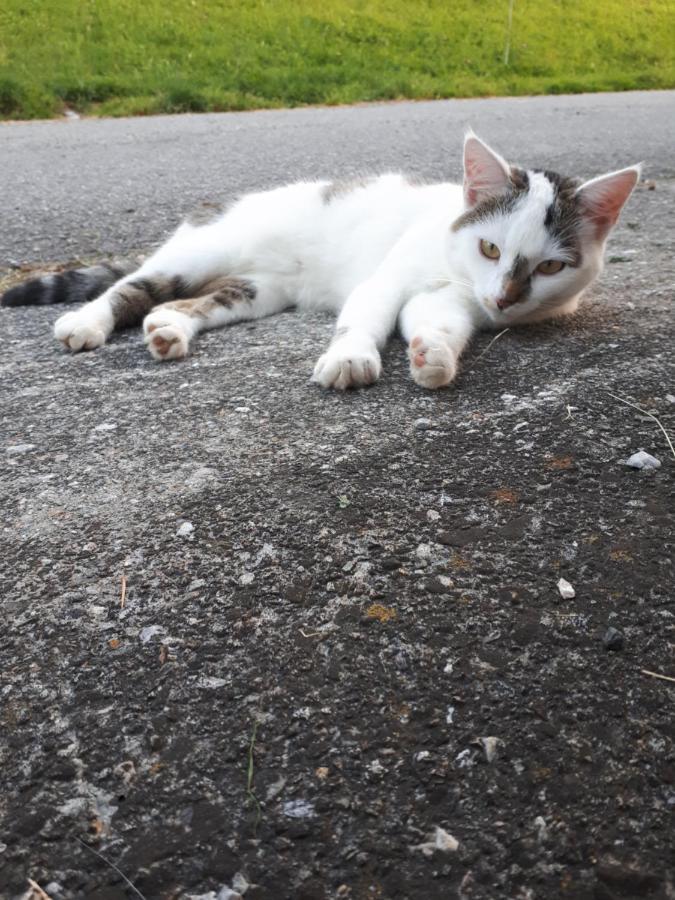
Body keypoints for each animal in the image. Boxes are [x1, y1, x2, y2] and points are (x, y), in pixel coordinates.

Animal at [1, 134, 640, 390]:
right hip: (206, 246)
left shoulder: (451, 299)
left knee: (202, 298)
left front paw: (432, 355)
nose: (504, 298)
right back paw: (87, 322)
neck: (450, 258)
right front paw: (352, 357)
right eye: (490, 248)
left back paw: (169, 328)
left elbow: (437, 322)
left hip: (258, 288)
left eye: (551, 268)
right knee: (133, 285)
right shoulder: (388, 276)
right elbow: (367, 316)